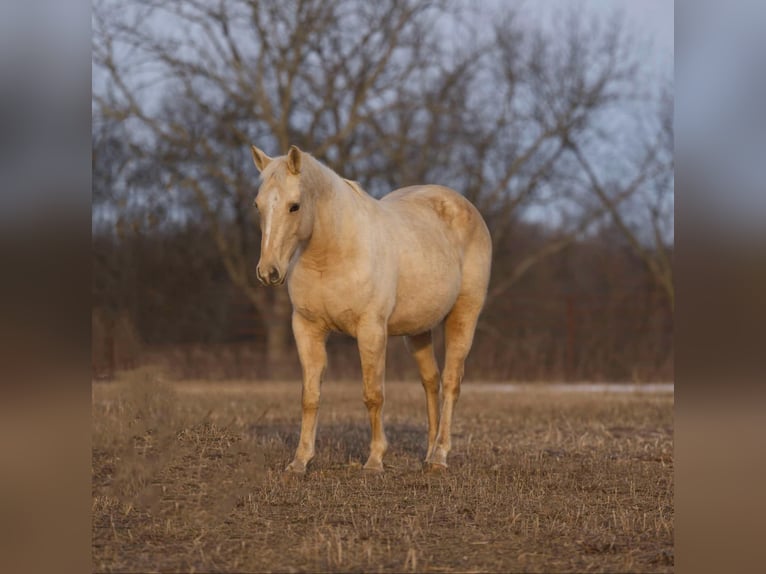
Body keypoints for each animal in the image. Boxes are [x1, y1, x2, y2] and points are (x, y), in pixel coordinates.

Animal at [250, 144, 492, 473]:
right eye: (258, 205)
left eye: (294, 206)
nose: (268, 272)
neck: (333, 254)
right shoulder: (306, 328)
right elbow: (309, 396)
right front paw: (300, 461)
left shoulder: (371, 330)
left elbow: (373, 394)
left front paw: (375, 460)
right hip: (418, 330)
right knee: (431, 382)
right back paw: (429, 454)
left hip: (463, 315)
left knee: (452, 383)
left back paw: (440, 456)